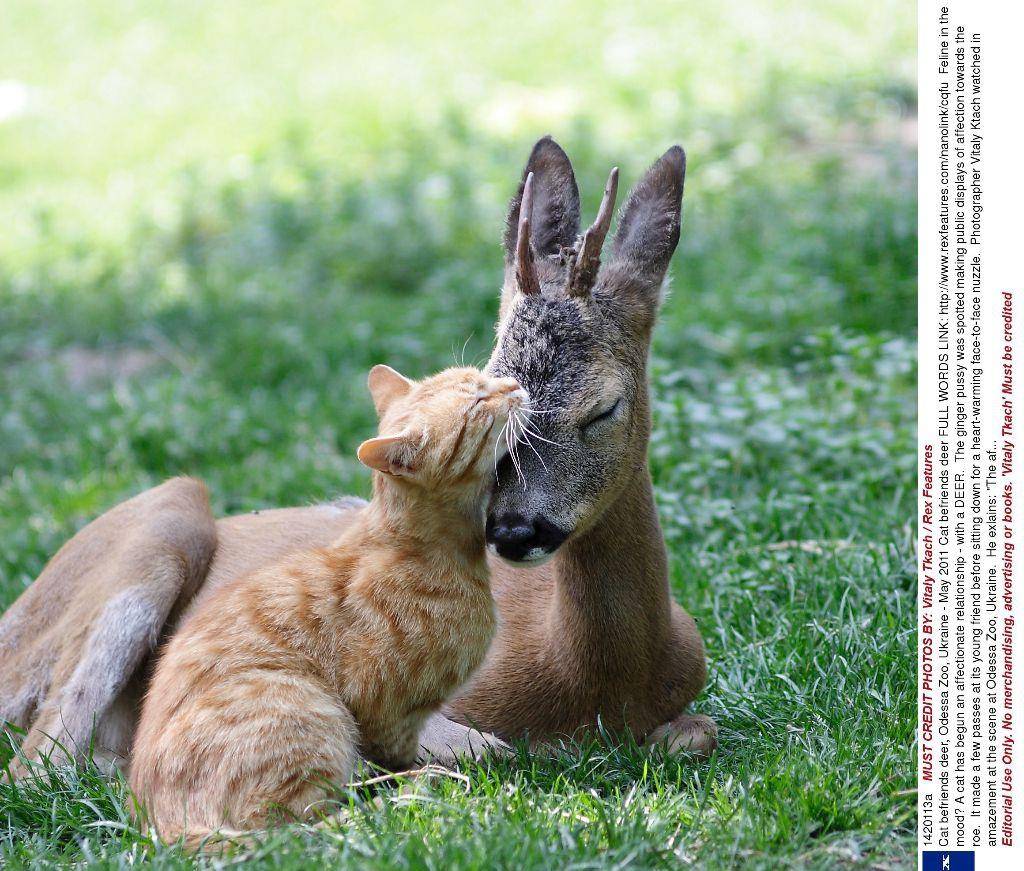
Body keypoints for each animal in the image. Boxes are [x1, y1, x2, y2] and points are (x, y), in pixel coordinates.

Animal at [128, 366, 524, 843]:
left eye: (483, 376)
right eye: (478, 402)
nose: (516, 385)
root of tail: (162, 829)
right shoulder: (384, 709)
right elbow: (394, 751)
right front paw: (413, 776)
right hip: (307, 707)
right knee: (299, 826)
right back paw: (404, 795)